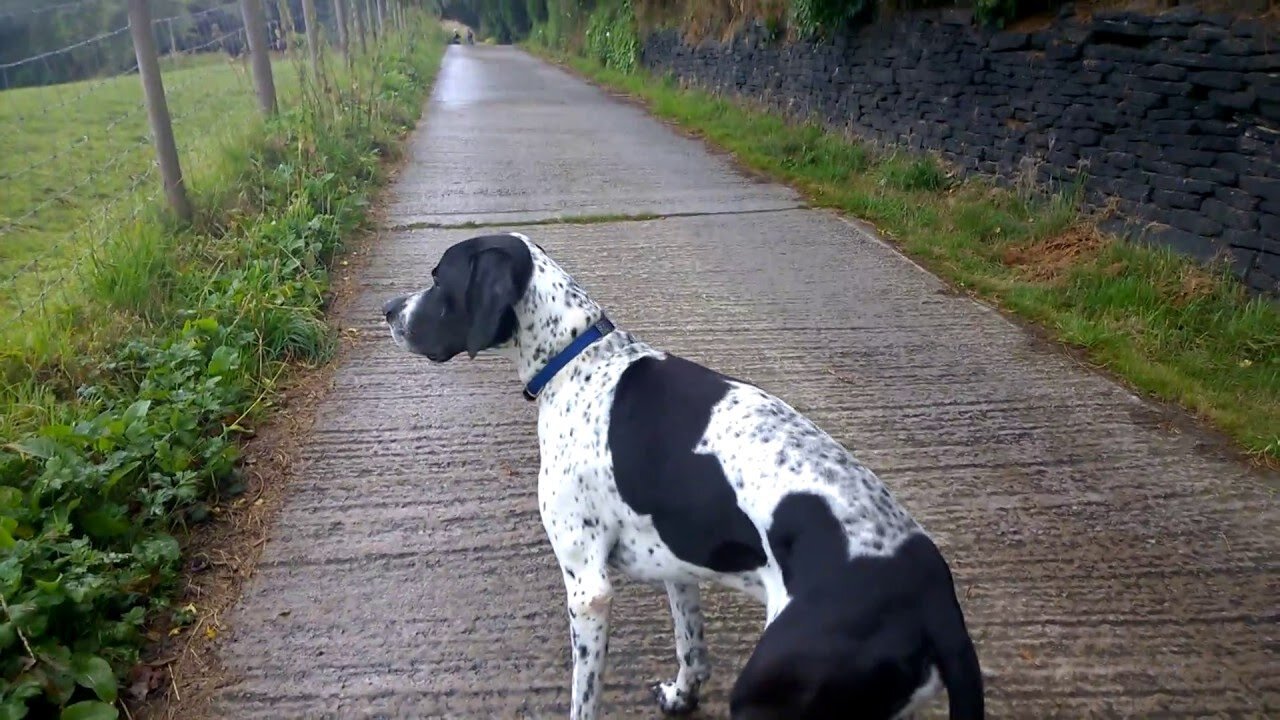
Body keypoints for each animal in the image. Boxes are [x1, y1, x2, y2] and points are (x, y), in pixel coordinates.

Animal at [376, 233, 977, 712]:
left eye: (439, 278)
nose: (386, 309)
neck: (579, 360)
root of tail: (934, 603)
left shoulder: (588, 589)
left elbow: (584, 699)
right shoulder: (678, 568)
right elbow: (692, 647)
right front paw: (682, 697)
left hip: (767, 696)